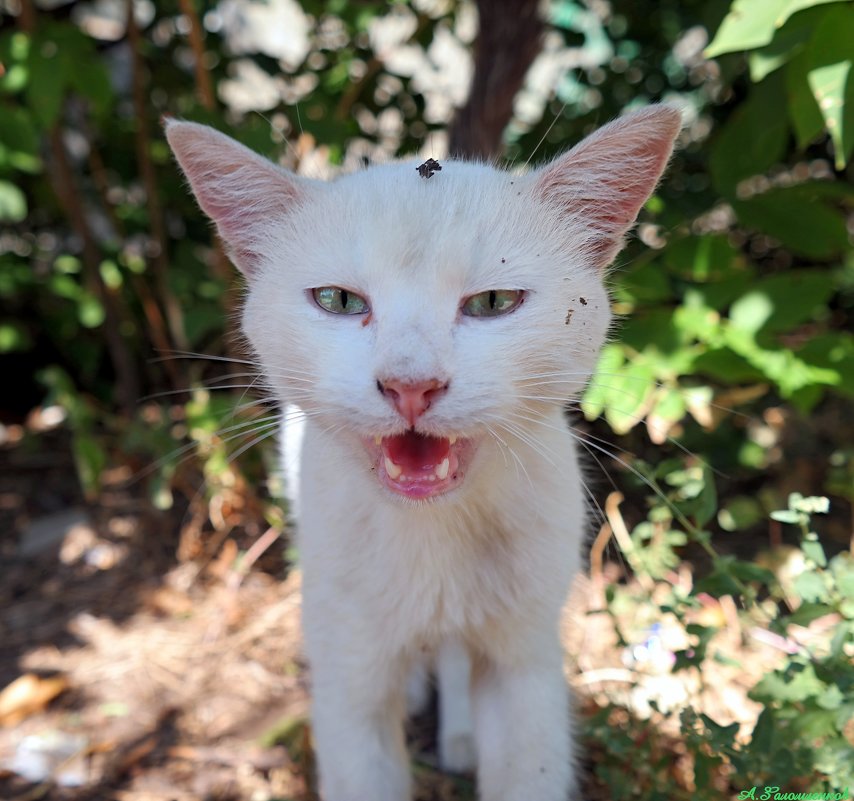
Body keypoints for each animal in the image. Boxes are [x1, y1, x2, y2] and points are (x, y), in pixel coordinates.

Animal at [167, 108, 684, 800]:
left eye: (493, 303)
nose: (410, 384)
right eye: (338, 300)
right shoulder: (347, 675)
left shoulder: (526, 662)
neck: (434, 529)